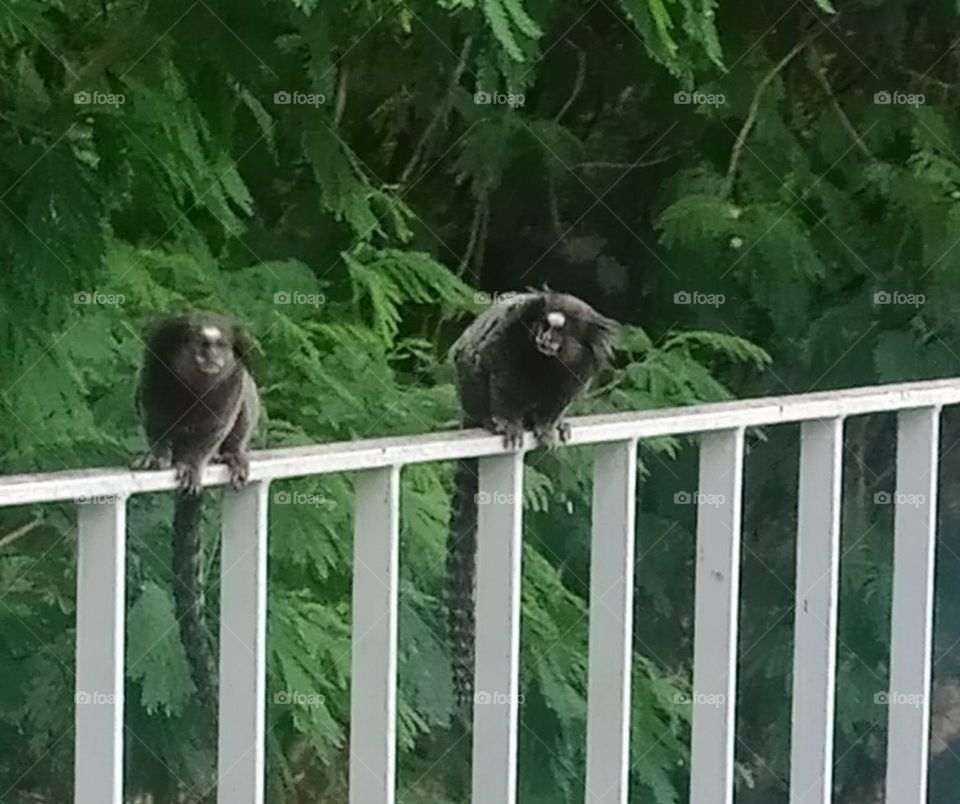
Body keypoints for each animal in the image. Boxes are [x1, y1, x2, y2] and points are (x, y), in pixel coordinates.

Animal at [134, 312, 260, 719]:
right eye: (201, 344)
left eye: (220, 345)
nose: (212, 357)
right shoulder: (157, 360)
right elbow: (155, 414)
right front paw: (158, 455)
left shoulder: (232, 380)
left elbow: (218, 423)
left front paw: (195, 463)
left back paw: (231, 453)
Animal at [446, 290, 616, 717]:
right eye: (541, 325)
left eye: (559, 332)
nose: (543, 340)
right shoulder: (508, 341)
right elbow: (499, 374)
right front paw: (507, 423)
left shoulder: (578, 367)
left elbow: (560, 397)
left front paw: (548, 425)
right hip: (471, 392)